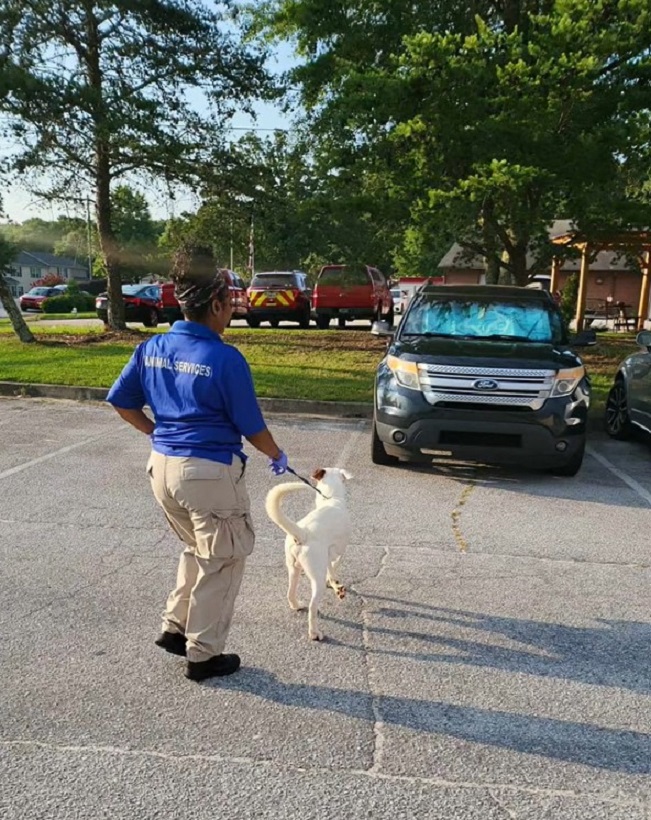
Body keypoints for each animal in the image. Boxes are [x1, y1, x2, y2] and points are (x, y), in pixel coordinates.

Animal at [266, 468, 354, 640]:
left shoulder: (327, 552)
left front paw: (335, 585)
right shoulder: (339, 550)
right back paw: (314, 633)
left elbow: (330, 569)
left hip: (293, 569)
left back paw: (297, 605)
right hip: (316, 579)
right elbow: (335, 565)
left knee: (290, 593)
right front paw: (336, 585)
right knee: (313, 607)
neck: (331, 499)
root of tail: (303, 534)